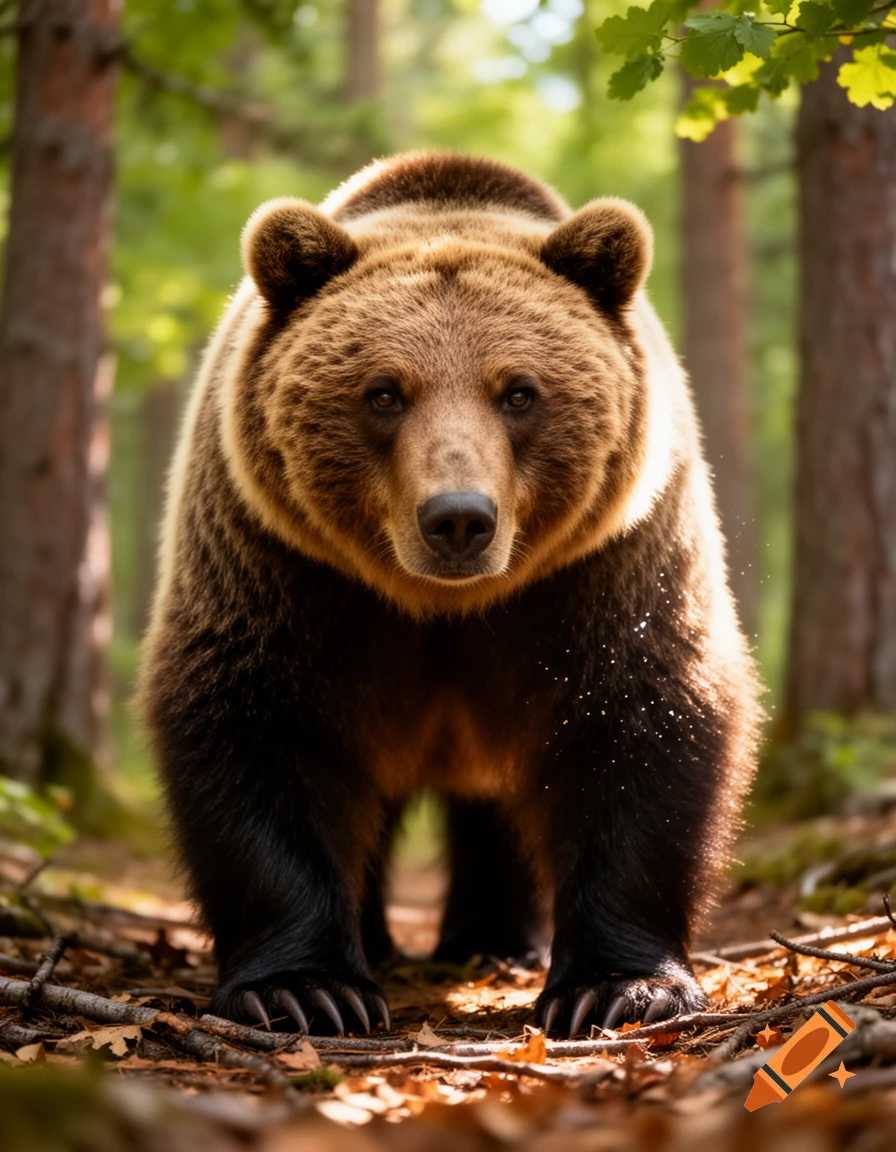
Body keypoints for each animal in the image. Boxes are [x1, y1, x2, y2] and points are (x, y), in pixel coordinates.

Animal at [139, 152, 761, 1038]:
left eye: (519, 391)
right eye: (384, 391)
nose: (459, 518)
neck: (443, 606)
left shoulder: (607, 565)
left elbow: (643, 719)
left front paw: (620, 986)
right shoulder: (282, 566)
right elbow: (258, 726)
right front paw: (305, 989)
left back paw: (493, 939)